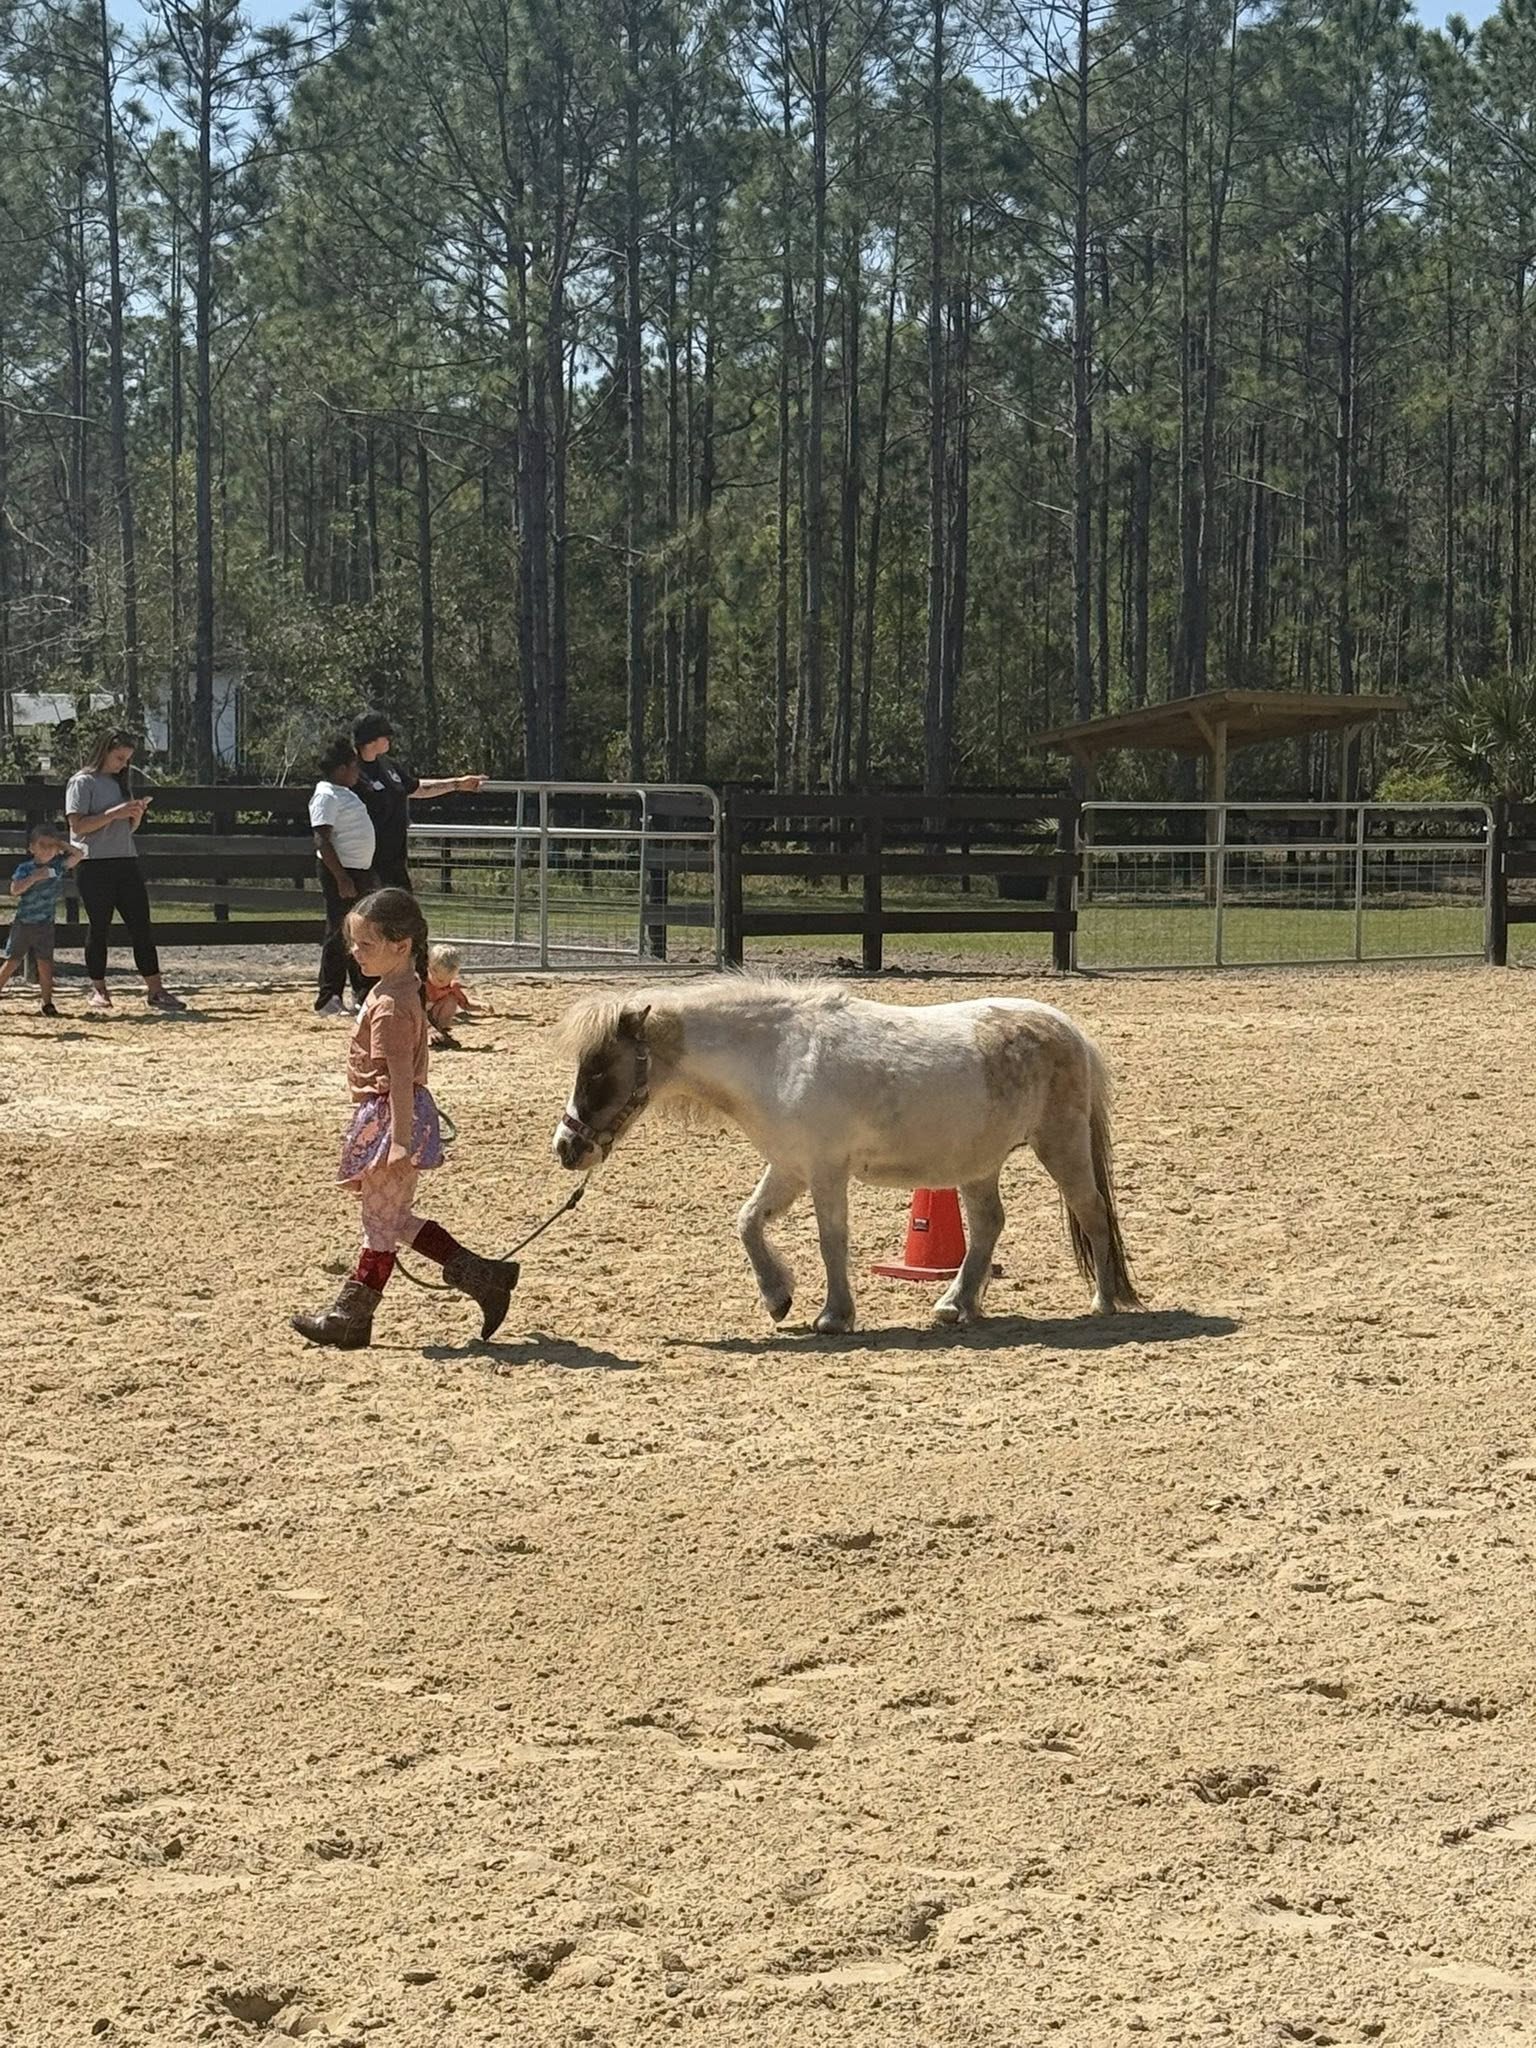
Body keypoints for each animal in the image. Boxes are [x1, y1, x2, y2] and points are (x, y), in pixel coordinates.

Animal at [551, 975, 1139, 1334]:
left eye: (598, 1070)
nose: (566, 1147)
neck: (777, 1056)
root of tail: (1070, 1031)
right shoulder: (789, 1167)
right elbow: (748, 1221)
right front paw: (777, 1297)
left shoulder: (825, 1171)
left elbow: (831, 1240)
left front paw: (833, 1316)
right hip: (977, 1164)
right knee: (989, 1224)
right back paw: (956, 1304)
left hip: (1060, 1145)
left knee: (1091, 1212)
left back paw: (1103, 1303)